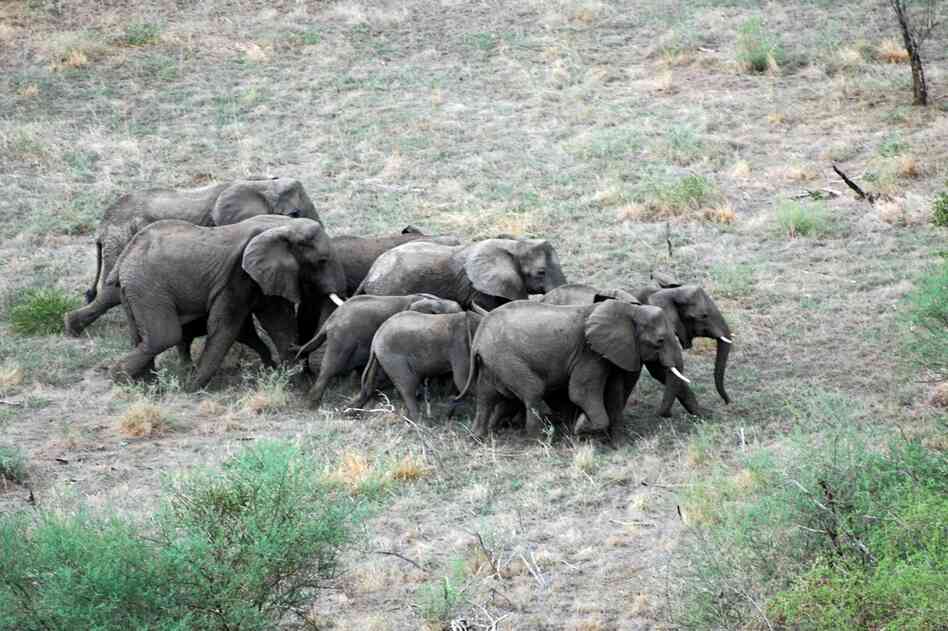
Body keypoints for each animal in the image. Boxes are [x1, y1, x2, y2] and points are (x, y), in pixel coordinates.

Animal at [64, 177, 319, 337]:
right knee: (111, 292)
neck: (262, 184)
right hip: (121, 240)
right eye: (295, 214)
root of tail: (101, 228)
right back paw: (73, 328)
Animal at [108, 215, 342, 391]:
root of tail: (123, 258)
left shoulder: (264, 275)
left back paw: (145, 384)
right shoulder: (236, 276)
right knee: (164, 337)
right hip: (147, 287)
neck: (285, 226)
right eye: (322, 261)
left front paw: (292, 381)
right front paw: (191, 388)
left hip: (135, 289)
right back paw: (120, 377)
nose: (298, 350)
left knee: (142, 336)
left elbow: (277, 322)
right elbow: (225, 327)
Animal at [352, 310, 482, 421]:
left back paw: (352, 412)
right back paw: (421, 424)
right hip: (393, 357)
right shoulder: (460, 347)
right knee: (408, 386)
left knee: (371, 383)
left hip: (381, 358)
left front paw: (448, 414)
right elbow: (463, 381)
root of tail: (375, 339)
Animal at [457, 300, 689, 438]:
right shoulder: (589, 353)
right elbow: (580, 393)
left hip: (492, 361)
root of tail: (479, 335)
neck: (628, 310)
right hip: (505, 356)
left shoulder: (607, 354)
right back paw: (538, 439)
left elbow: (613, 392)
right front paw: (580, 427)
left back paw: (479, 436)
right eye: (660, 341)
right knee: (532, 391)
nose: (664, 415)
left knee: (486, 396)